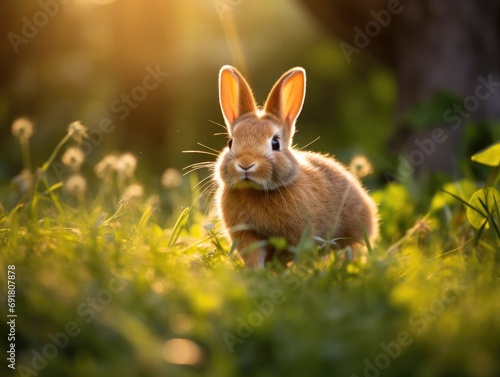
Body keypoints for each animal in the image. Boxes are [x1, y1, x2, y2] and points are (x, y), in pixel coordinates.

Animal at [213, 64, 376, 268]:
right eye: (230, 142)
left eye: (275, 143)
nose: (245, 164)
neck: (255, 191)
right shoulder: (246, 234)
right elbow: (254, 256)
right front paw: (256, 273)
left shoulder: (297, 235)